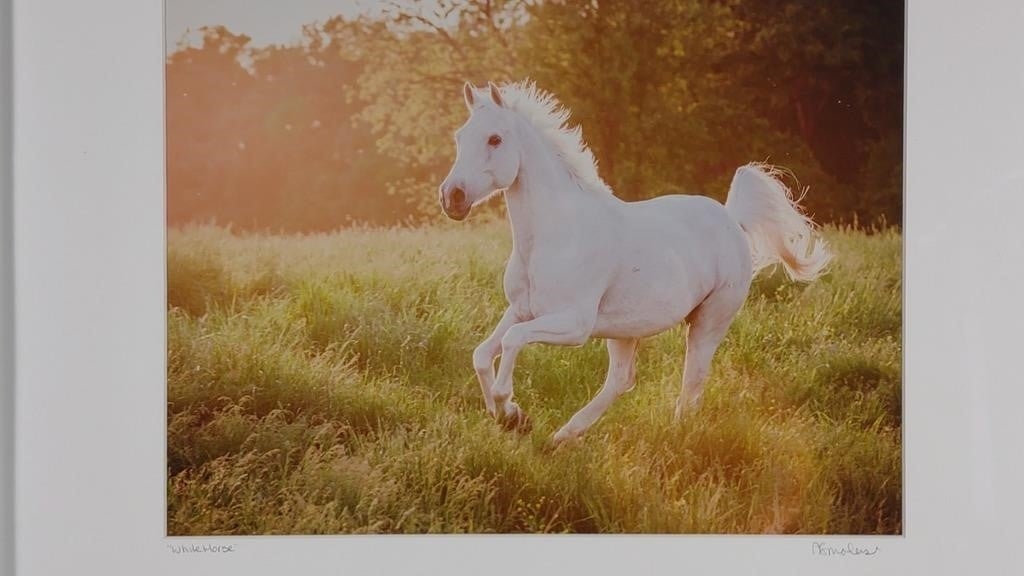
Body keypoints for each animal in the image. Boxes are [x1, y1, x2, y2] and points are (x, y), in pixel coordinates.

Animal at [438, 80, 831, 445]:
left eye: (495, 139)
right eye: (459, 137)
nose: (451, 197)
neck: (551, 238)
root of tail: (732, 219)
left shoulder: (573, 324)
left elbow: (512, 342)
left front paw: (510, 412)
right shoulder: (522, 310)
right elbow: (482, 354)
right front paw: (509, 416)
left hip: (709, 322)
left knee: (691, 383)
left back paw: (673, 437)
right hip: (626, 329)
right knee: (622, 380)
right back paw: (562, 437)